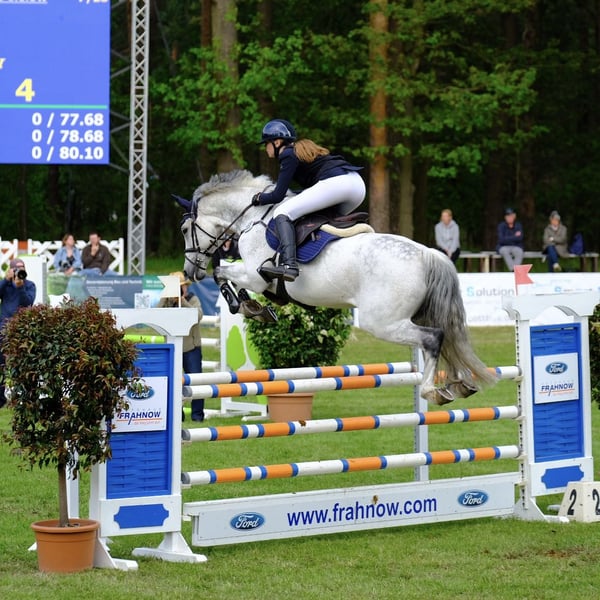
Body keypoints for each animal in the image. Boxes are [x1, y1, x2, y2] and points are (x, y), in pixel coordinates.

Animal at [179, 169, 496, 405]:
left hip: (382, 322)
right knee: (448, 337)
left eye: (184, 230)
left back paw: (433, 391)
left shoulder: (256, 275)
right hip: (413, 314)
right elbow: (230, 277)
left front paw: (243, 305)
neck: (252, 218)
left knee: (434, 337)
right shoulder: (257, 278)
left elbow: (222, 274)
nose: (189, 271)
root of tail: (427, 254)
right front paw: (255, 307)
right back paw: (459, 383)